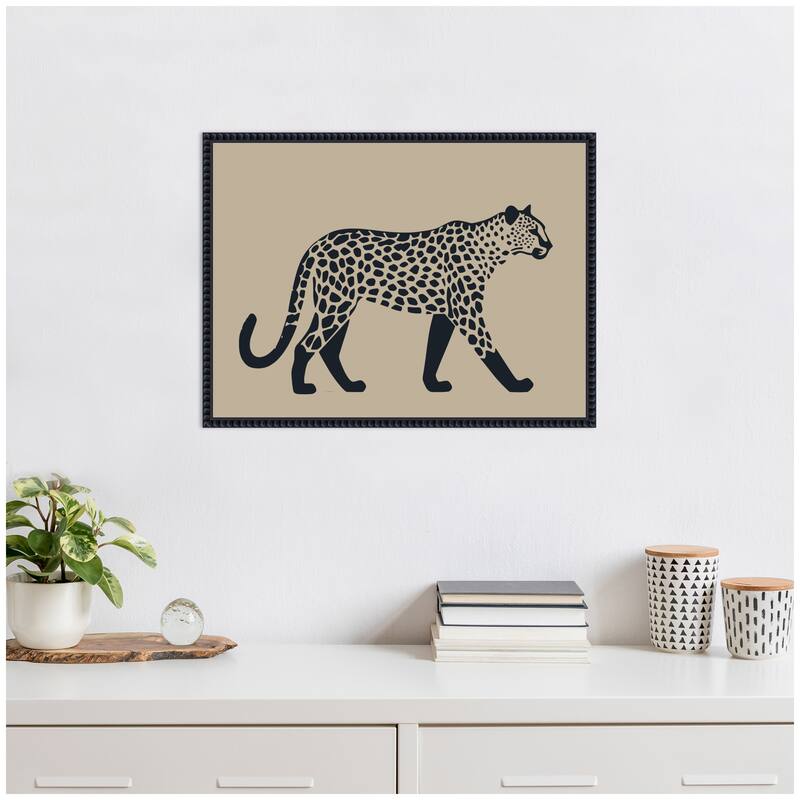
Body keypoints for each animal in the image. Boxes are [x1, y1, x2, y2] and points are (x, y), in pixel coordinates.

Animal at [239, 204, 553, 394]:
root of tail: (318, 243)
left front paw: (432, 384)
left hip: (339, 304)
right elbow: (489, 349)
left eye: (543, 229)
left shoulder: (444, 313)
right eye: (533, 230)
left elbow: (434, 350)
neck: (491, 249)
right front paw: (515, 384)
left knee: (329, 348)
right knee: (306, 345)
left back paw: (350, 386)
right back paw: (302, 389)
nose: (550, 245)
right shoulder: (466, 312)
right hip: (336, 305)